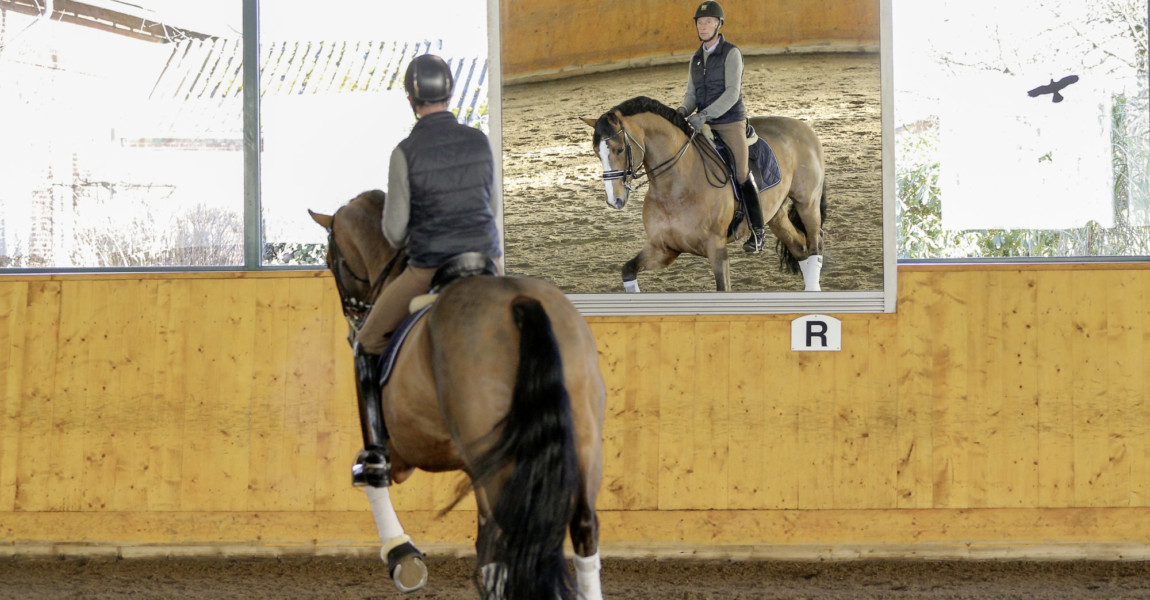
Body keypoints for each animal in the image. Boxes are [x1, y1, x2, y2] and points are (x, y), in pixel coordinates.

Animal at [305, 188, 611, 597]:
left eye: (330, 260)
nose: (353, 327)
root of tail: (520, 301)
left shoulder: (402, 451)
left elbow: (370, 472)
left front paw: (401, 554)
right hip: (582, 443)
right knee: (581, 527)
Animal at [584, 95, 828, 291]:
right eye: (596, 152)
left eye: (620, 149)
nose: (614, 200)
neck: (676, 187)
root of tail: (803, 127)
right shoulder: (663, 248)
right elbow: (628, 270)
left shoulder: (717, 249)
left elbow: (723, 288)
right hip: (775, 214)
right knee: (800, 247)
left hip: (807, 203)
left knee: (815, 245)